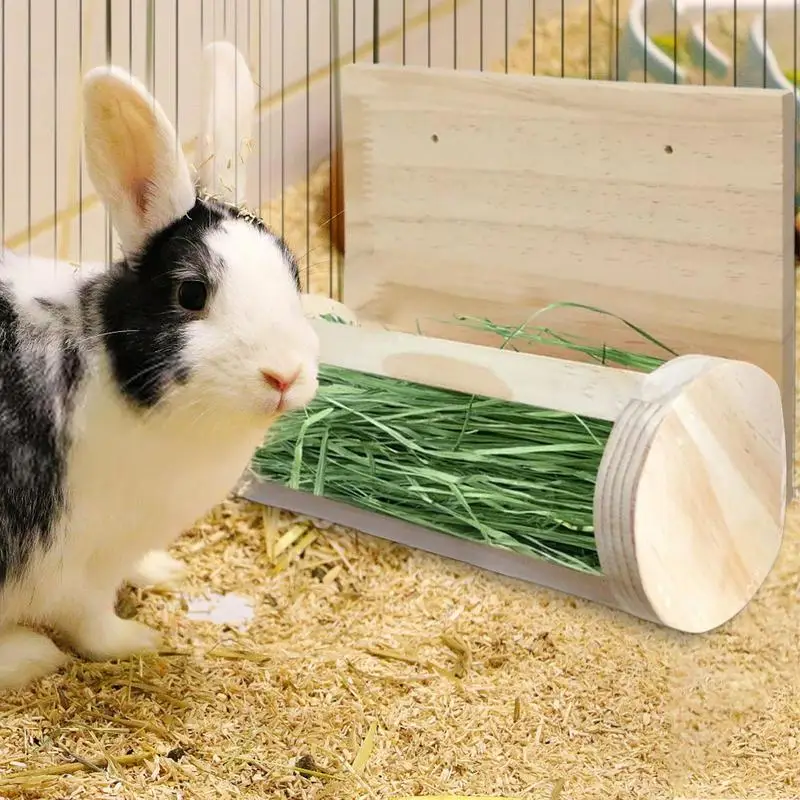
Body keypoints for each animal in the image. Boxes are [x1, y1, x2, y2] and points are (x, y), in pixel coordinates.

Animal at [0, 58, 320, 691]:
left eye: (294, 271)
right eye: (191, 293)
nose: (285, 375)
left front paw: (162, 572)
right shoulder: (74, 561)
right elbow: (92, 623)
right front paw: (140, 641)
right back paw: (30, 655)